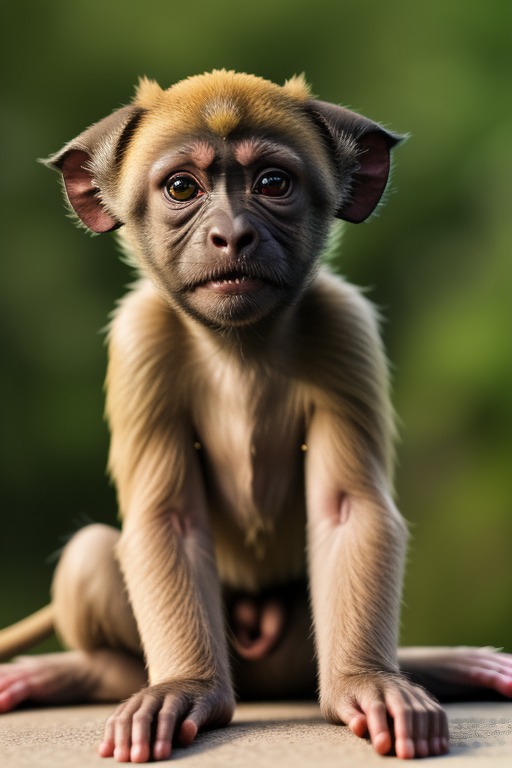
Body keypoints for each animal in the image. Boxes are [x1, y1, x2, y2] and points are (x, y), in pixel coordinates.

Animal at [1, 70, 511, 764]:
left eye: (272, 184)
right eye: (182, 188)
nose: (233, 234)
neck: (237, 346)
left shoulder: (343, 328)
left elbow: (348, 510)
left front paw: (368, 682)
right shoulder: (140, 341)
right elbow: (168, 519)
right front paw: (186, 689)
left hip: (295, 643)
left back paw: (428, 665)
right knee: (88, 553)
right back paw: (94, 674)